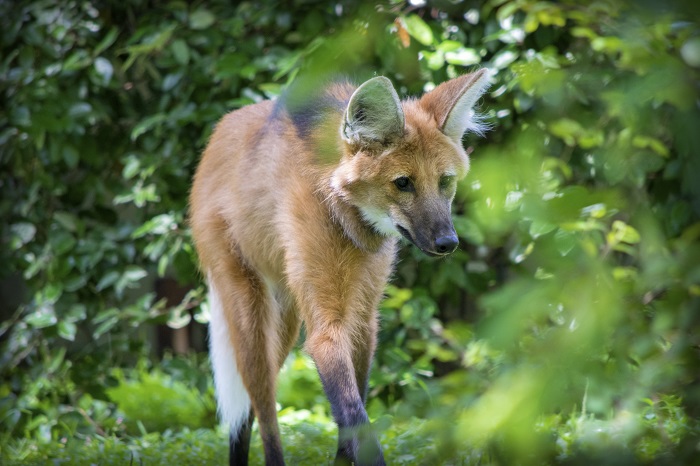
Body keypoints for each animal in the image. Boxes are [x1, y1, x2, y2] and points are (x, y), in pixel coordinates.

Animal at [189, 70, 490, 466]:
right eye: (403, 183)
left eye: (445, 181)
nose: (447, 243)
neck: (349, 216)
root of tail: (216, 135)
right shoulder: (327, 329)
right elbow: (354, 415)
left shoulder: (363, 320)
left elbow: (353, 409)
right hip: (247, 303)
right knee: (263, 409)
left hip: (285, 318)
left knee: (251, 405)